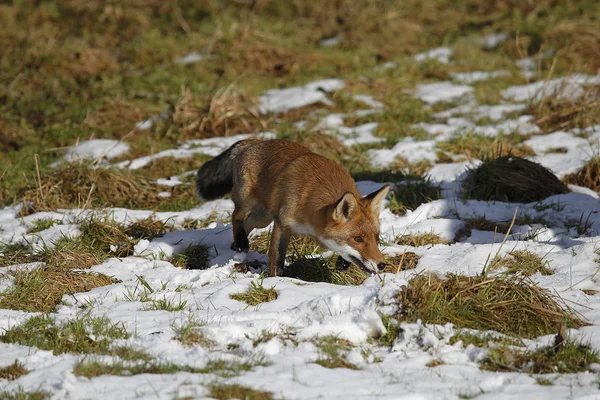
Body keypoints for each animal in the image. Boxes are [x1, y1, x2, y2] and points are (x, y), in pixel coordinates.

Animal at [196, 139, 390, 276]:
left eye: (376, 237)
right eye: (357, 239)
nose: (382, 265)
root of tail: (254, 141)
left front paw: (343, 262)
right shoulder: (283, 224)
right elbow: (276, 259)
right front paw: (276, 280)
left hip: (263, 218)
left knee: (246, 223)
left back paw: (236, 246)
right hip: (247, 202)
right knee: (235, 216)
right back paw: (241, 241)